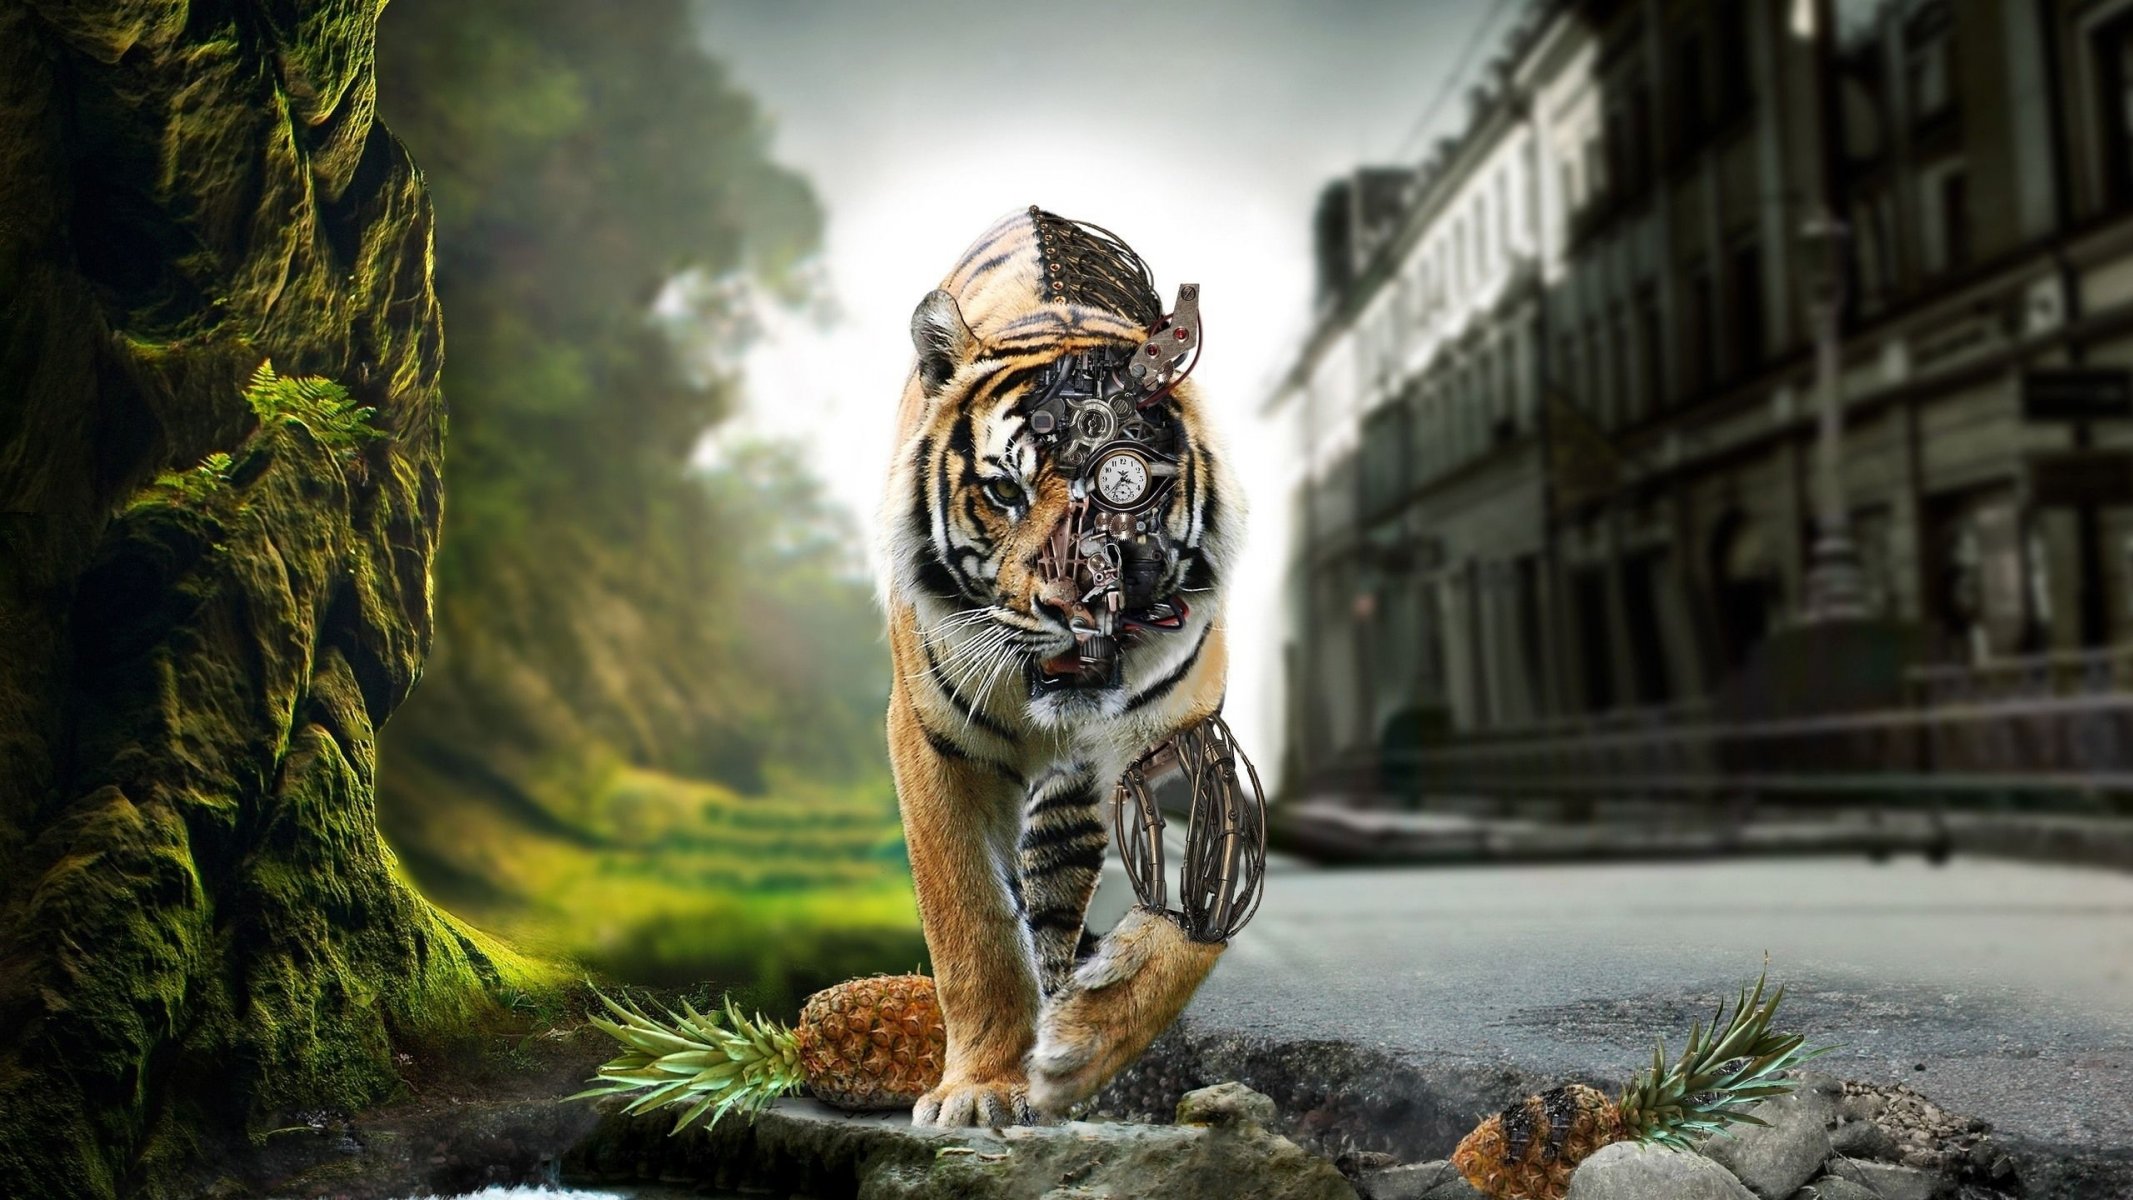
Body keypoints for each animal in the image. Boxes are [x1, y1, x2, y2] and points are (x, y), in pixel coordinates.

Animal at [877, 207, 1243, 1126]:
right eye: (1004, 493)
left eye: (1125, 488)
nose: (1076, 606)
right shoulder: (933, 743)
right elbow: (970, 922)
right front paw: (979, 1088)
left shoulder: (1187, 741)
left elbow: (1192, 919)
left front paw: (1083, 1042)